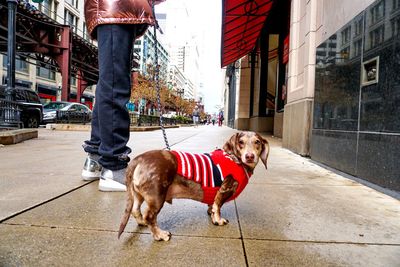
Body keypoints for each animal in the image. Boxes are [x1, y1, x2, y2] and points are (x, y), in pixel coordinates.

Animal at [118, 133, 268, 242]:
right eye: (241, 142)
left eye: (257, 142)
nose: (249, 156)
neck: (234, 159)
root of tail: (138, 159)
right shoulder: (224, 189)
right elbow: (218, 206)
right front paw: (218, 220)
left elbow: (212, 205)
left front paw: (211, 214)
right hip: (156, 196)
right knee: (149, 216)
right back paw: (160, 235)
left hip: (138, 194)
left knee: (135, 210)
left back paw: (142, 222)